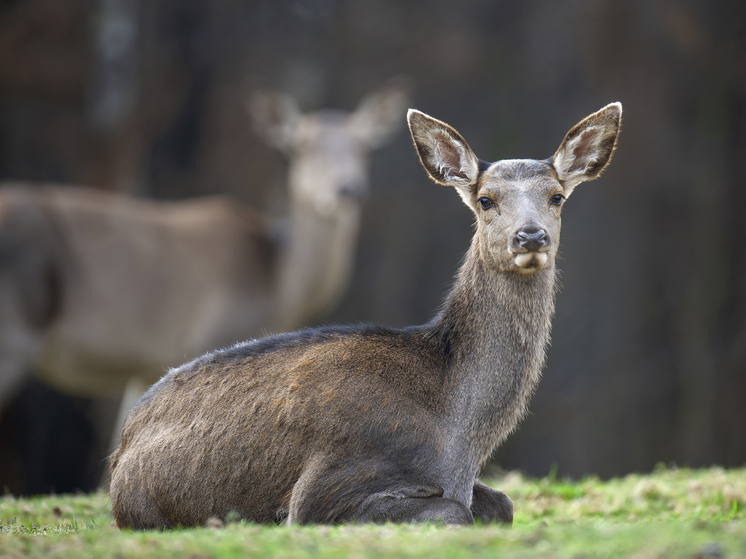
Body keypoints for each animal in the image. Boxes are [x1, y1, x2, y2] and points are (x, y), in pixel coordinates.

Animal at [0, 79, 406, 490]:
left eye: (364, 143)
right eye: (299, 145)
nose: (348, 188)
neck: (278, 284)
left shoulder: (150, 363)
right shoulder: (214, 332)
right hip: (15, 327)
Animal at [107, 103, 620, 528]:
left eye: (556, 196)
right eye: (486, 199)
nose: (530, 236)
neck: (459, 437)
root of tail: (122, 447)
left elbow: (503, 503)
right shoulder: (324, 486)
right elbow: (454, 511)